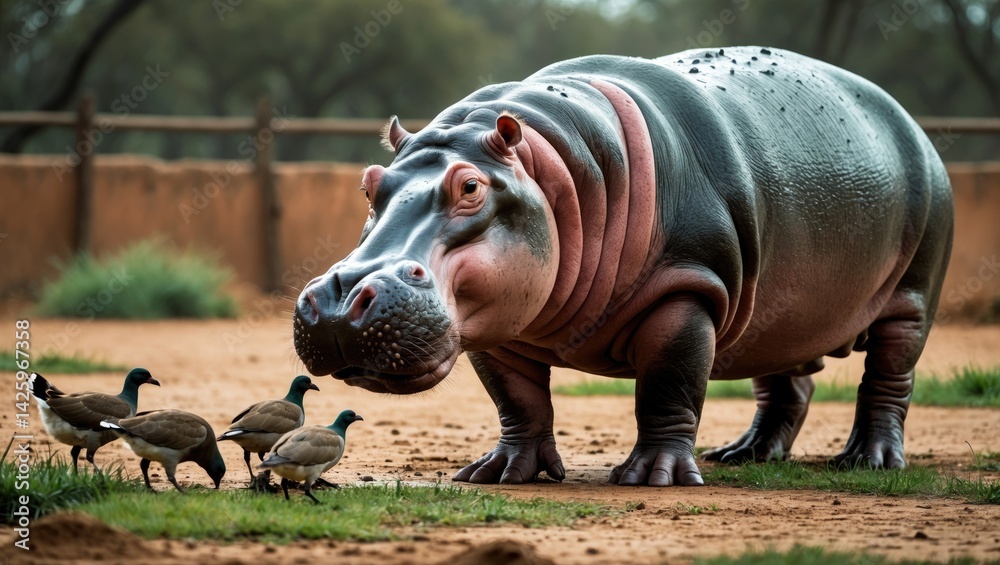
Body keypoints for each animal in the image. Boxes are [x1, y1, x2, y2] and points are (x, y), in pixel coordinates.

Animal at [293, 47, 953, 486]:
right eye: (371, 184)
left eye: (471, 187)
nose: (340, 300)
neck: (555, 169)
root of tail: (910, 122)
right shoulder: (498, 319)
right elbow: (518, 399)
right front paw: (499, 471)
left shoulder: (687, 291)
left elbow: (669, 383)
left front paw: (653, 476)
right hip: (777, 310)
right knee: (786, 380)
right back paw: (743, 454)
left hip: (911, 297)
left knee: (889, 377)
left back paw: (867, 460)